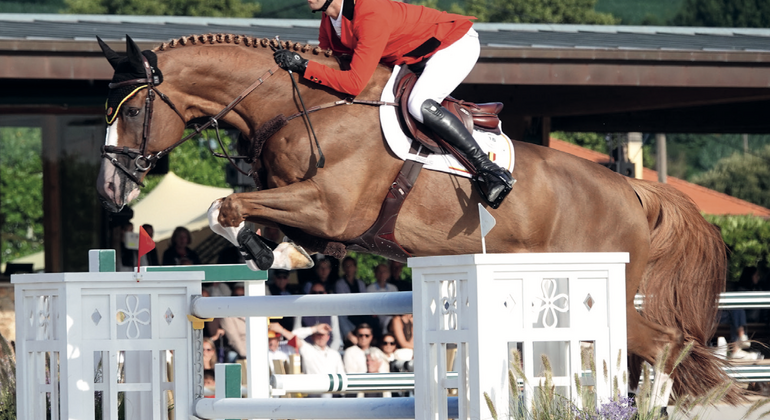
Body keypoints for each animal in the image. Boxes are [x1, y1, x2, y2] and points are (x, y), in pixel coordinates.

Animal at [95, 34, 740, 403]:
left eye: (132, 111)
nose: (108, 190)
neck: (292, 106)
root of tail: (633, 190)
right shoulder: (303, 207)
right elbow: (251, 216)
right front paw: (276, 251)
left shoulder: (329, 205)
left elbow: (223, 205)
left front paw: (267, 249)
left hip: (602, 290)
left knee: (667, 348)